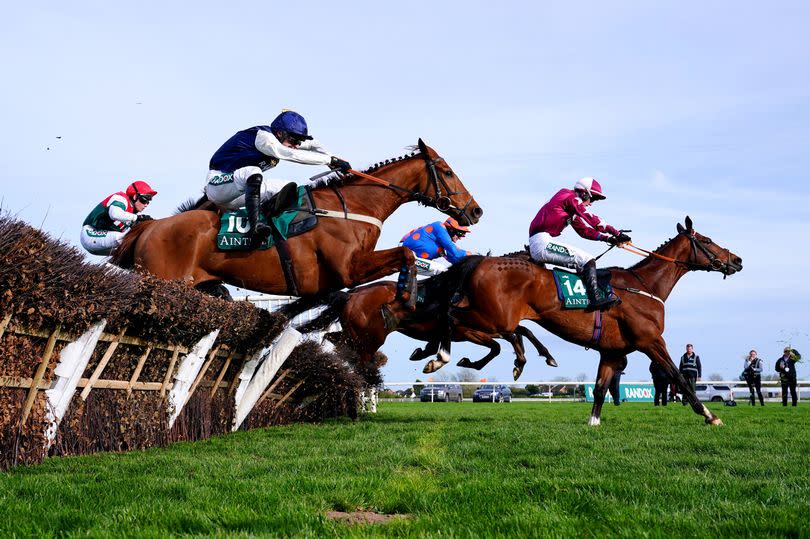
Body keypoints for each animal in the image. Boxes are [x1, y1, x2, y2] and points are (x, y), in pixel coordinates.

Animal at [111, 139, 482, 298]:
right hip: (164, 281)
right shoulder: (350, 270)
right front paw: (407, 293)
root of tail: (151, 226)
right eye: (448, 172)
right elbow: (405, 253)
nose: (476, 210)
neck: (352, 206)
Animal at [432, 217, 740, 428]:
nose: (737, 260)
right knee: (453, 318)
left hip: (495, 317)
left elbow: (601, 388)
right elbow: (679, 378)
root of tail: (481, 262)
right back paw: (441, 356)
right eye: (707, 240)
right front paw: (710, 415)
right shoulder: (651, 342)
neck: (645, 286)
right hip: (492, 317)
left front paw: (593, 422)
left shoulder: (612, 352)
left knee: (497, 330)